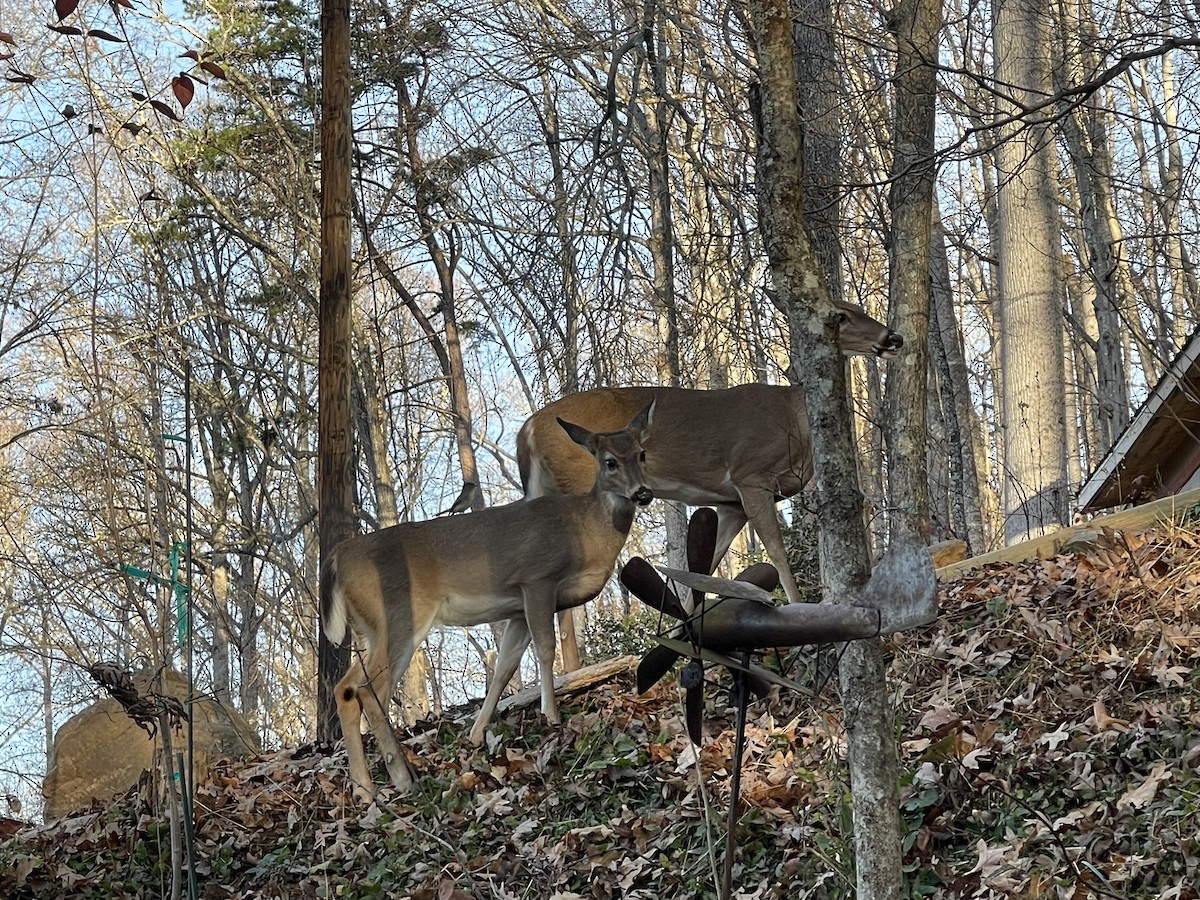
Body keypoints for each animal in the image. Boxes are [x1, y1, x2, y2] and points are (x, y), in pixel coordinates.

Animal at [321, 404, 655, 801]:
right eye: (609, 461)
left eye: (641, 453)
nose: (643, 493)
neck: (584, 530)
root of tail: (337, 558)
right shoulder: (537, 578)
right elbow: (546, 649)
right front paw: (551, 714)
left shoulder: (517, 608)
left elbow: (504, 668)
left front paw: (477, 733)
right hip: (399, 615)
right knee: (371, 691)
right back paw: (401, 778)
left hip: (371, 628)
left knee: (346, 688)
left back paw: (365, 789)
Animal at [517, 299, 903, 609]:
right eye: (840, 316)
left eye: (859, 307)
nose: (893, 338)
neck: (794, 418)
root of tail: (527, 430)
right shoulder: (751, 476)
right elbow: (777, 552)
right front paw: (799, 609)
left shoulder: (730, 503)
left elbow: (702, 570)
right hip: (580, 486)